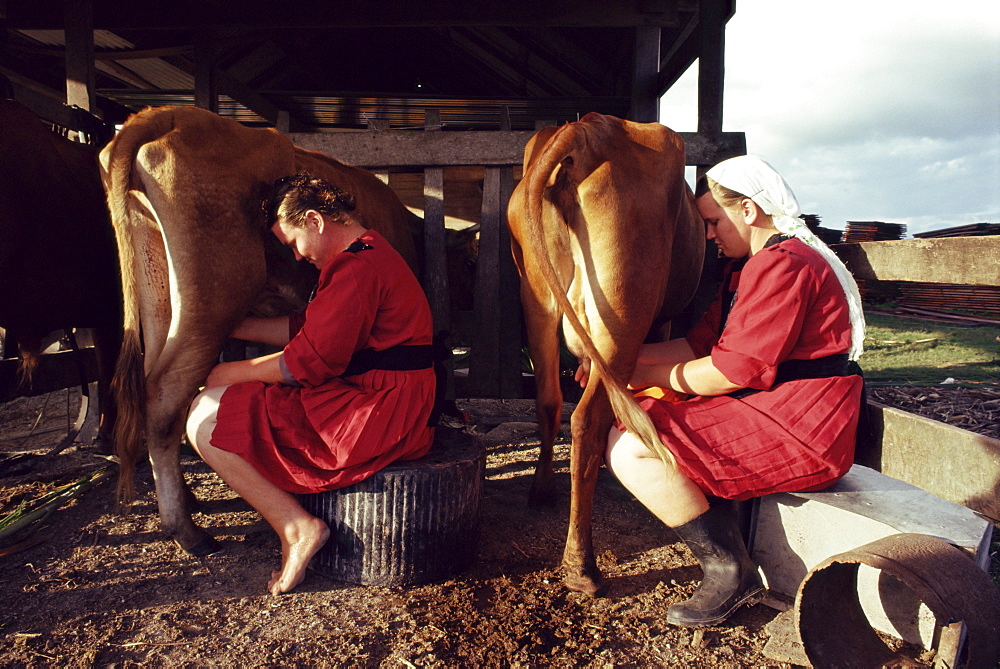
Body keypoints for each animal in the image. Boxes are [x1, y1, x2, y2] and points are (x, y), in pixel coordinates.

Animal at [508, 111, 704, 596]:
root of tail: (587, 127)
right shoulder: (658, 321)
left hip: (537, 299)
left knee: (549, 400)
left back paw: (542, 490)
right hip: (624, 309)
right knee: (588, 420)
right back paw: (581, 566)